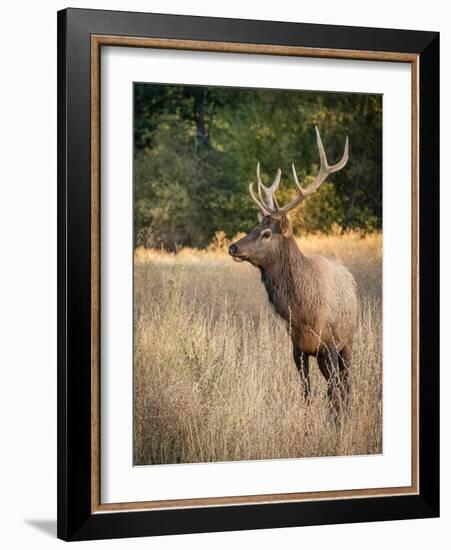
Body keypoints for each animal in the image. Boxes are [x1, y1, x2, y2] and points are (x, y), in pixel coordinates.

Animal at [231, 128, 358, 414]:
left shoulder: (329, 343)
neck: (303, 311)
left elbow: (333, 393)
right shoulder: (297, 347)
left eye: (267, 233)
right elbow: (306, 393)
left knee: (345, 386)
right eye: (254, 228)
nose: (233, 247)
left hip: (349, 341)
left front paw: (336, 423)